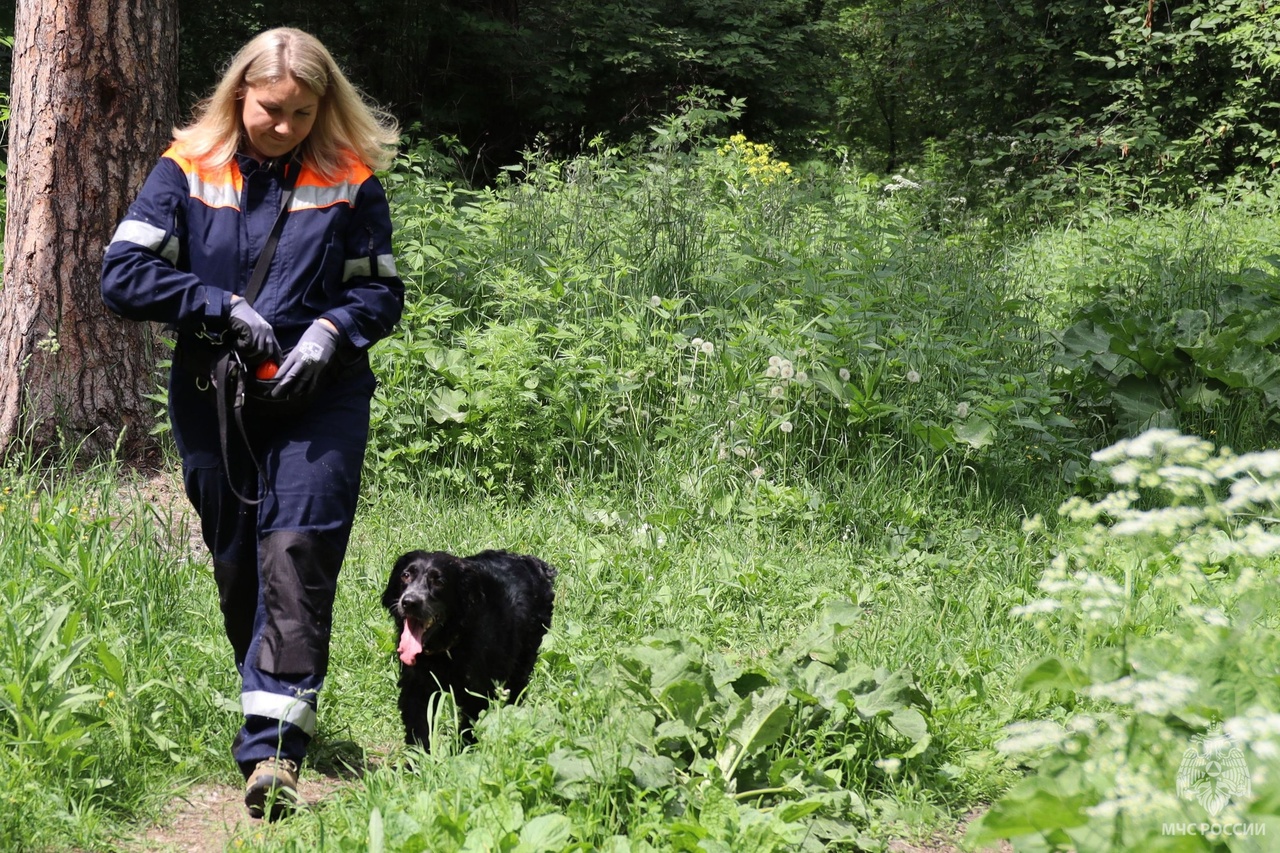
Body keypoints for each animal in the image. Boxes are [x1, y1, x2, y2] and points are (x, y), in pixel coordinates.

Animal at [384, 548, 555, 742]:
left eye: (439, 581)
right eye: (405, 575)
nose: (410, 602)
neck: (448, 648)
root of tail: (534, 563)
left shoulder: (478, 693)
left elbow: (469, 730)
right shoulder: (415, 690)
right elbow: (419, 731)